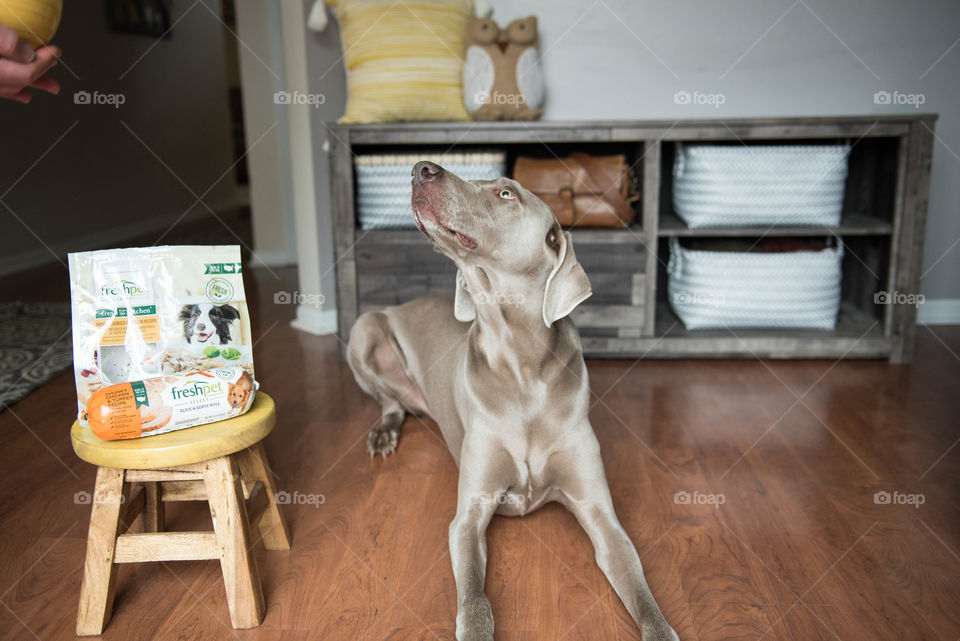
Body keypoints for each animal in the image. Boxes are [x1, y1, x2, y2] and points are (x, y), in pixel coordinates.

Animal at [348, 161, 680, 640]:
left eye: (506, 193)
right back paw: (383, 434)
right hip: (364, 328)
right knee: (389, 401)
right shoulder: (468, 516)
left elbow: (642, 593)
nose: (419, 168)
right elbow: (474, 601)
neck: (521, 366)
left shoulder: (602, 515)